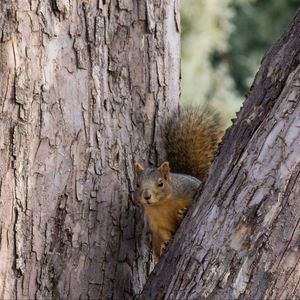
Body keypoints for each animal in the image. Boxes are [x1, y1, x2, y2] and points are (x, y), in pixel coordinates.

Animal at [135, 106, 221, 258]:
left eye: (161, 183)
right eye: (137, 184)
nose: (146, 196)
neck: (162, 204)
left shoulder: (189, 189)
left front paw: (183, 213)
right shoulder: (156, 222)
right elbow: (164, 232)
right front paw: (165, 245)